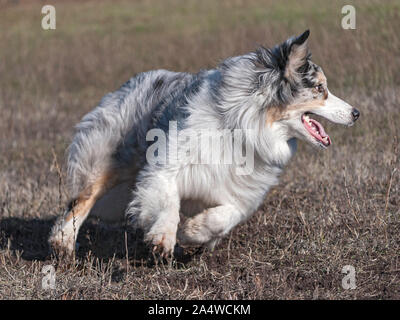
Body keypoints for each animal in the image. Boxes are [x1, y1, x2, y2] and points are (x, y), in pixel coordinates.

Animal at [49, 29, 360, 255]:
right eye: (320, 89)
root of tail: (134, 82)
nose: (356, 113)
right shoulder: (165, 167)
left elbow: (225, 216)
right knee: (81, 201)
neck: (243, 126)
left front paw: (192, 232)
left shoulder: (240, 191)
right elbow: (168, 200)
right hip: (110, 159)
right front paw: (164, 236)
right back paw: (63, 242)